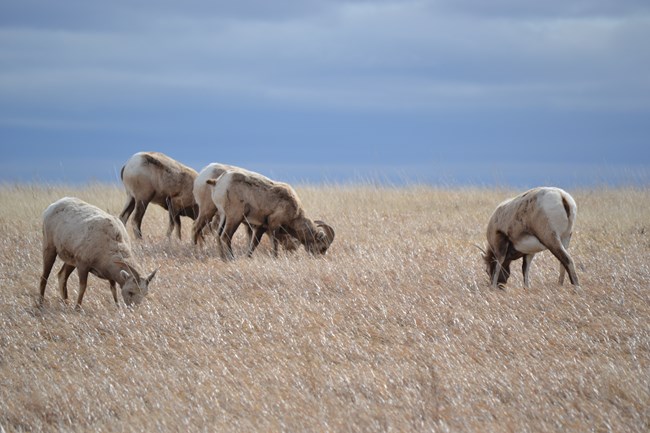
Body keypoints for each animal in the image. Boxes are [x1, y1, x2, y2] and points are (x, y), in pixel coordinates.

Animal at [206, 170, 336, 258]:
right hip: (234, 218)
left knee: (218, 235)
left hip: (223, 216)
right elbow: (275, 243)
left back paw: (223, 258)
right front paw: (275, 257)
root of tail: (218, 182)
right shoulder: (274, 225)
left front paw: (249, 257)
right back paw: (231, 258)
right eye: (323, 247)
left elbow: (254, 244)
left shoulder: (261, 227)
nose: (319, 257)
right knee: (226, 236)